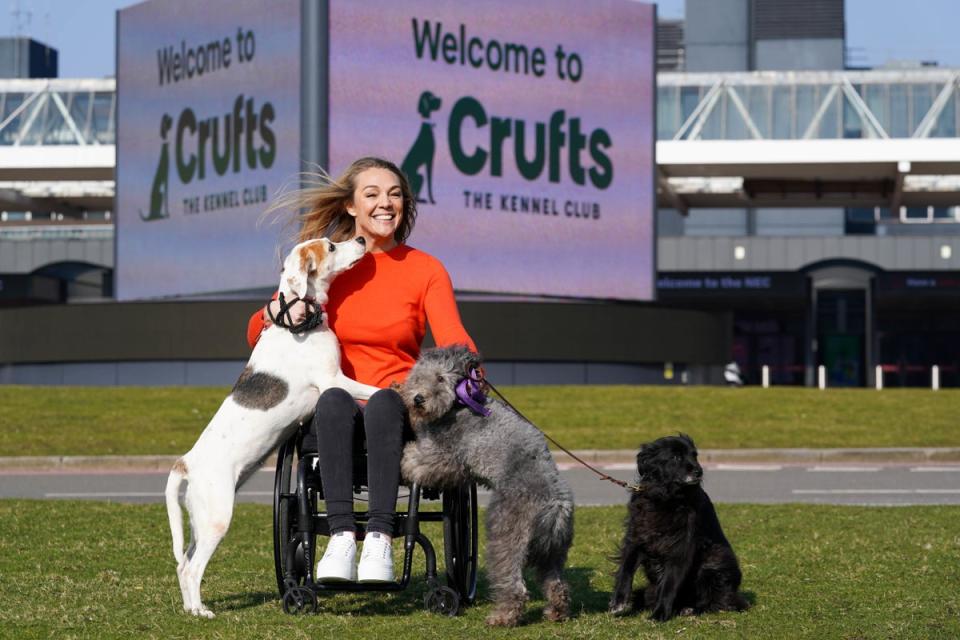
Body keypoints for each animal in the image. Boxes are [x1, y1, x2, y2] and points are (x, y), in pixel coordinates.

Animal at [163, 238, 376, 616]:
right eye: (331, 246)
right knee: (191, 568)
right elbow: (378, 389)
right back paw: (201, 612)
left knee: (183, 563)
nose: (362, 240)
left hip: (199, 521)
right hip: (217, 518)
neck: (297, 324)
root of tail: (185, 462)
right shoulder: (335, 381)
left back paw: (190, 609)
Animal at [402, 344, 572, 624]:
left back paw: (502, 617)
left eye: (440, 378)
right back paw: (555, 612)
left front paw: (406, 462)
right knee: (557, 583)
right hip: (554, 551)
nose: (417, 399)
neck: (458, 403)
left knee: (515, 586)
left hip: (507, 533)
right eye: (418, 375)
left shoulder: (450, 456)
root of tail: (555, 506)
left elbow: (424, 461)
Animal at [608, 432, 752, 624]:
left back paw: (690, 609)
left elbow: (669, 584)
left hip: (714, 560)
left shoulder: (680, 548)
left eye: (695, 455)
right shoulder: (637, 536)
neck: (666, 498)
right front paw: (619, 602)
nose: (699, 471)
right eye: (676, 457)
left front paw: (660, 614)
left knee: (715, 600)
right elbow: (626, 569)